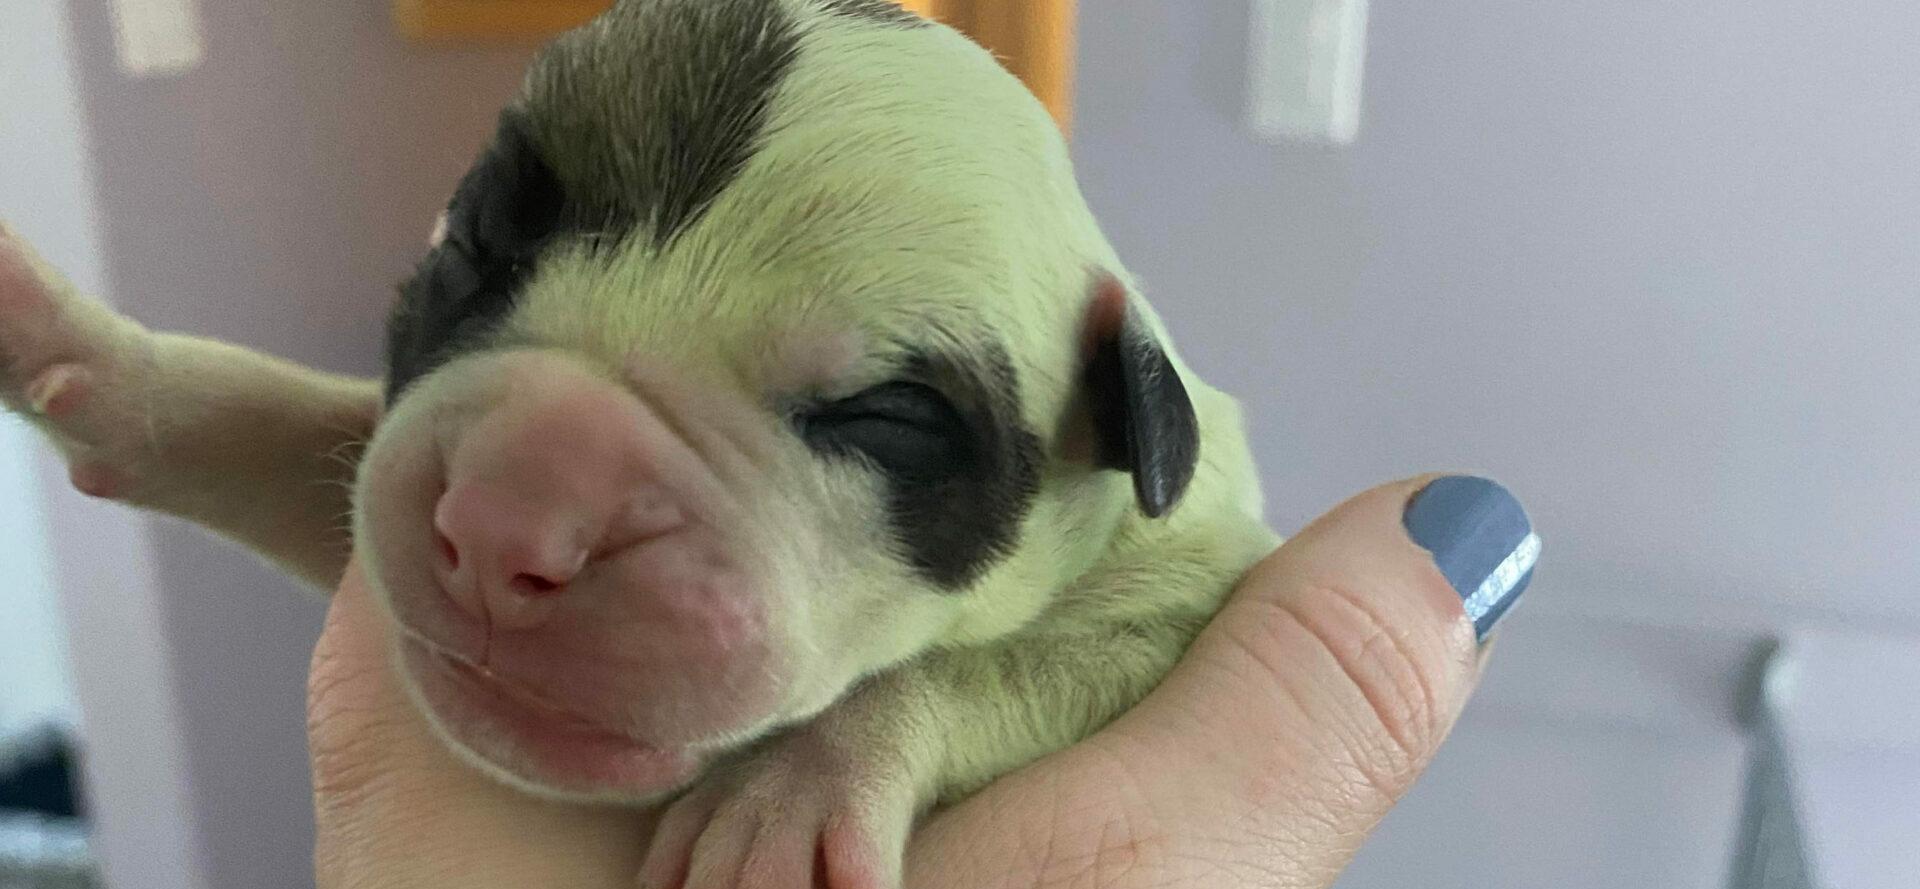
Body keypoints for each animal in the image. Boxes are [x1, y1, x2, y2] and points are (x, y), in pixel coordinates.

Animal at [7, 3, 1282, 887]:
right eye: (472, 245)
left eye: (887, 418)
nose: (507, 520)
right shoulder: (375, 456)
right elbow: (291, 432)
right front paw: (89, 353)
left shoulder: (1184, 601)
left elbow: (986, 668)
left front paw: (790, 796)